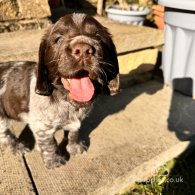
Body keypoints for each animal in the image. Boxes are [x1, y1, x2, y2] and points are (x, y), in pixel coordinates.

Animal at [0, 12, 119, 168]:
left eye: (98, 37)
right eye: (58, 39)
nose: (83, 50)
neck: (66, 100)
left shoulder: (75, 122)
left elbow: (73, 133)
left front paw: (74, 147)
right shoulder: (42, 128)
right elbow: (49, 144)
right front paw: (53, 161)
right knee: (6, 135)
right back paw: (17, 147)